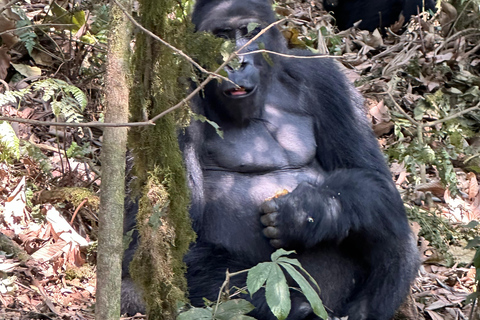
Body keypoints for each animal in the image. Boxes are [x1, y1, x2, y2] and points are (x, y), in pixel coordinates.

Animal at [122, 0, 418, 318]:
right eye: (221, 35)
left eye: (249, 32)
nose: (236, 62)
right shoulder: (171, 96)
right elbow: (166, 241)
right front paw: (299, 308)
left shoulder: (323, 76)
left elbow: (370, 175)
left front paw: (307, 212)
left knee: (389, 222)